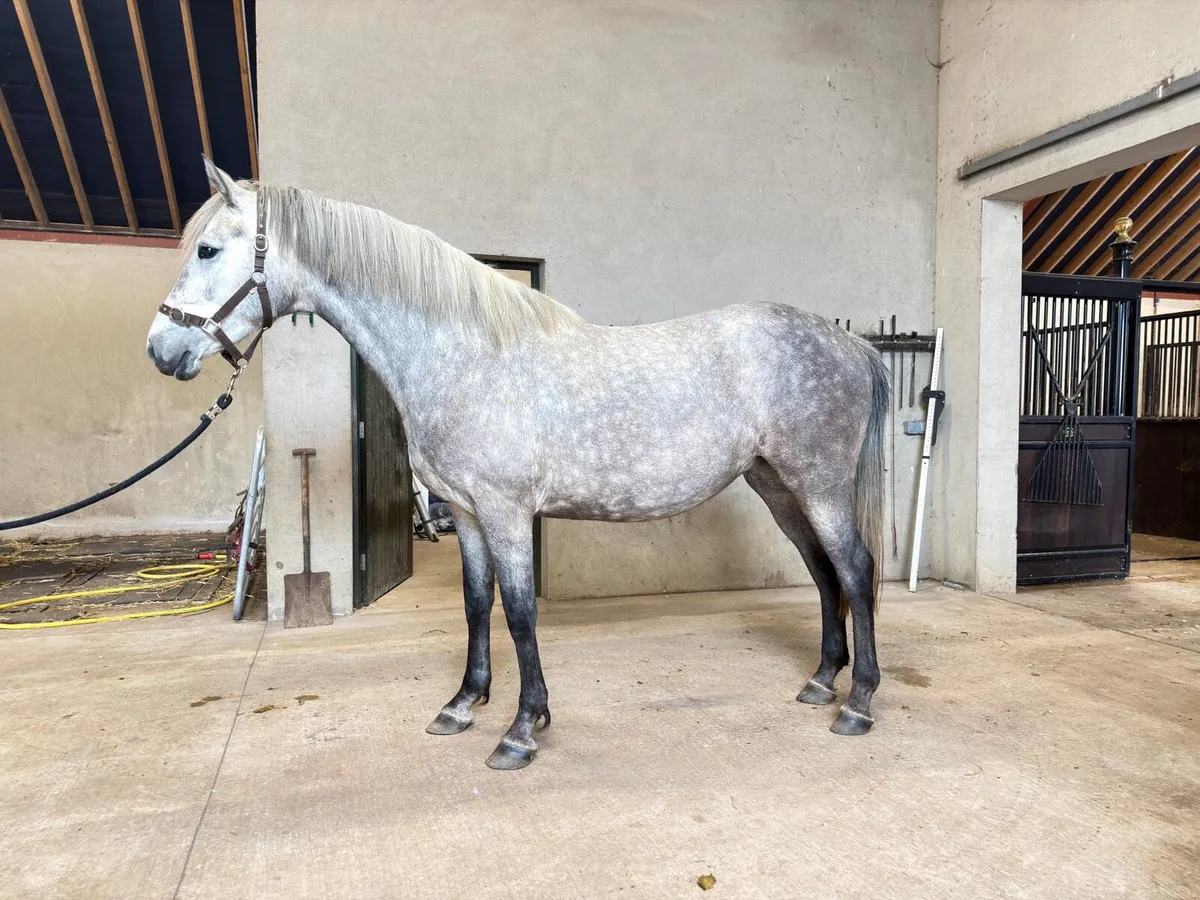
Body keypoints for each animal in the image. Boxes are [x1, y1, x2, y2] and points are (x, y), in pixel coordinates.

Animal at [147, 158, 890, 770]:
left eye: (209, 248)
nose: (161, 350)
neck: (466, 357)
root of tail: (852, 346)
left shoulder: (506, 512)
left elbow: (522, 612)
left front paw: (523, 730)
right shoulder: (469, 513)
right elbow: (478, 604)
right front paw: (462, 705)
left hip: (818, 484)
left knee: (855, 570)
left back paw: (857, 704)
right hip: (778, 486)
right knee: (823, 572)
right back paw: (821, 682)